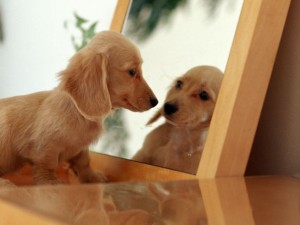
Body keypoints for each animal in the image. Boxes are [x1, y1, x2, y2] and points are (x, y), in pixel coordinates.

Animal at [0, 30, 158, 185]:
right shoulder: (44, 146)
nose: (155, 102)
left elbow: (84, 162)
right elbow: (47, 164)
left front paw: (92, 178)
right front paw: (51, 181)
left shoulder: (81, 148)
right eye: (132, 71)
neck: (77, 112)